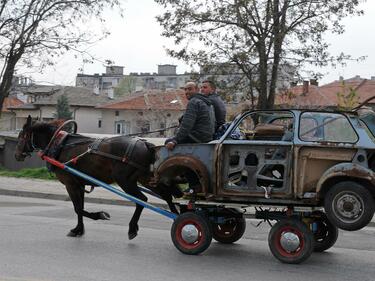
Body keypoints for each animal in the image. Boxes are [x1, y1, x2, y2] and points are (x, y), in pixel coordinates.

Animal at [15, 115, 183, 238]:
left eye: (21, 136)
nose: (17, 155)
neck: (59, 145)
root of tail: (146, 145)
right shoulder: (79, 185)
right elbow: (80, 207)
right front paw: (78, 229)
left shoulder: (70, 184)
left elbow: (78, 208)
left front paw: (100, 215)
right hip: (145, 178)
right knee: (166, 195)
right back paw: (177, 215)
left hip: (125, 180)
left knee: (142, 199)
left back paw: (133, 228)